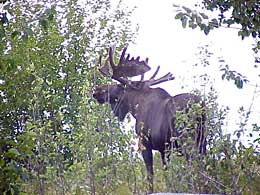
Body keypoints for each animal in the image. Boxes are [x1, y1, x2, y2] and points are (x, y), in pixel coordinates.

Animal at [92, 46, 206, 193]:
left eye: (117, 86)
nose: (97, 90)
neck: (134, 107)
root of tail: (200, 106)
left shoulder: (145, 143)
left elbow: (150, 174)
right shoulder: (164, 149)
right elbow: (166, 173)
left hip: (187, 138)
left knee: (194, 163)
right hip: (203, 139)